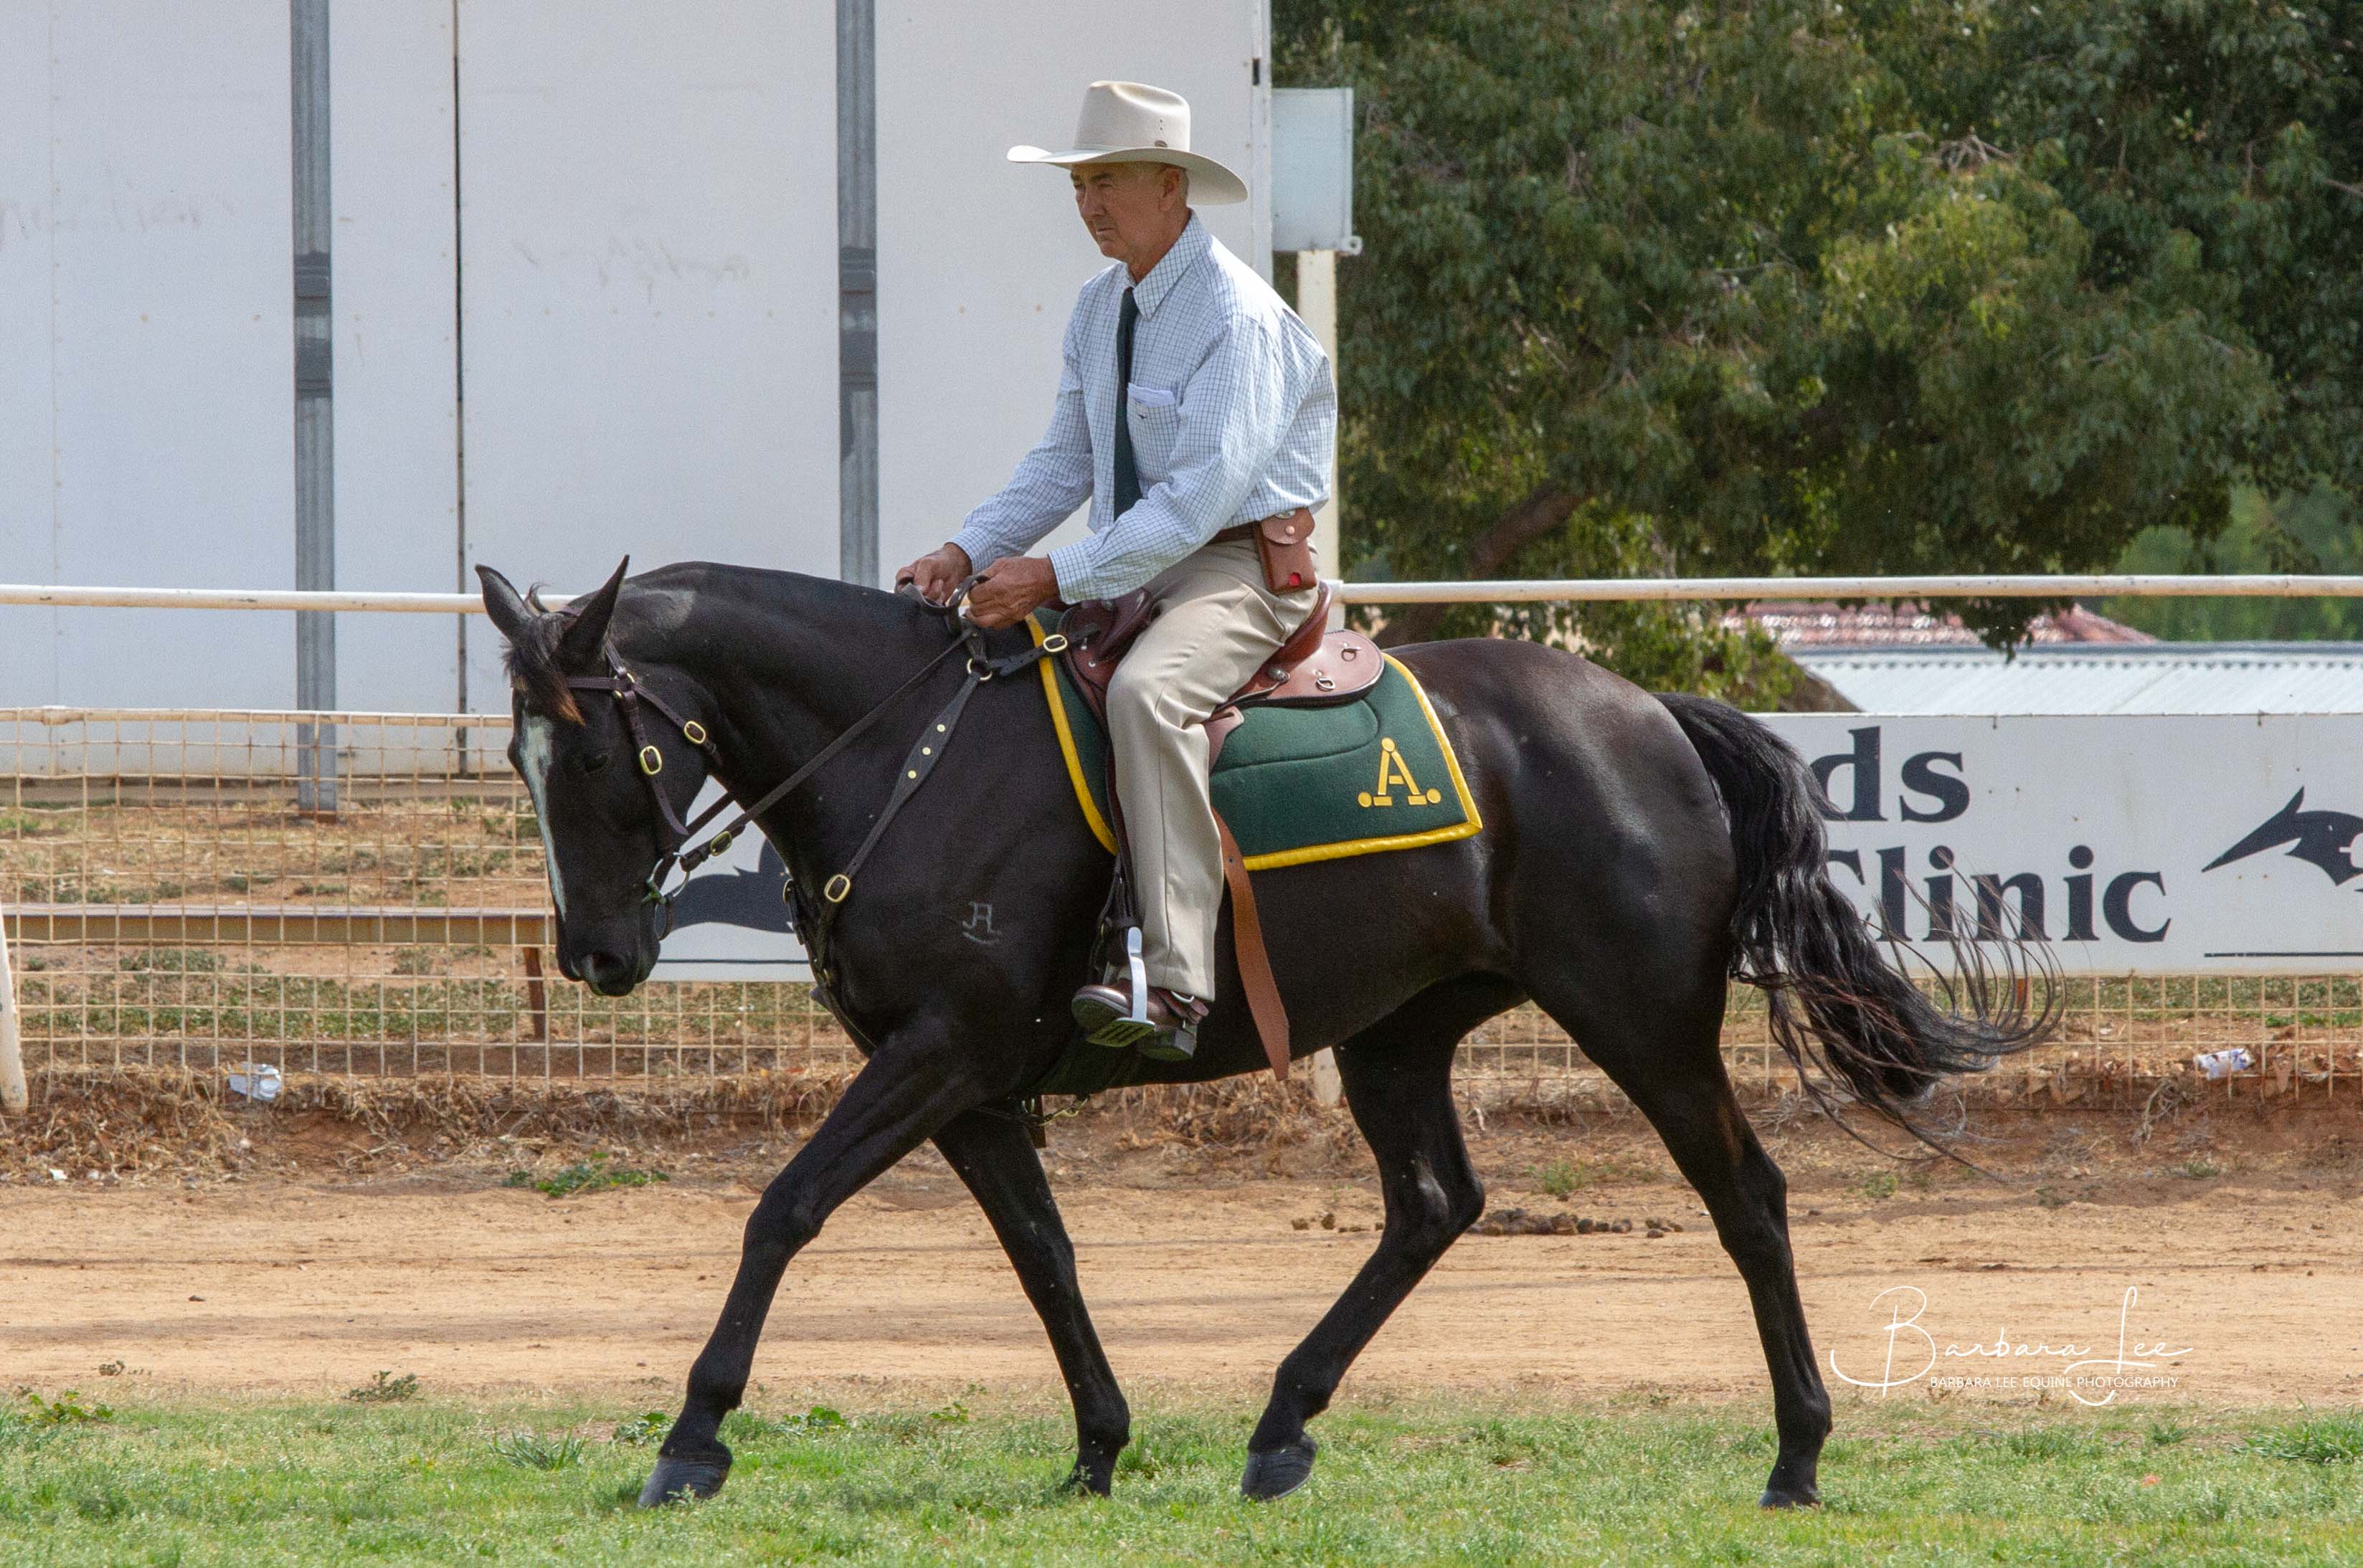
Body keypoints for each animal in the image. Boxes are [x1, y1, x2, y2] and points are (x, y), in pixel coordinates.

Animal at [477, 556, 2040, 1510]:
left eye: (600, 751)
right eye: (517, 756)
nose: (598, 955)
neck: (907, 757)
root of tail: (1645, 710)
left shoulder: (942, 1054)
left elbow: (784, 1207)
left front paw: (693, 1434)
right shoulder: (965, 1081)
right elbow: (1043, 1255)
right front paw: (1099, 1444)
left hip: (1641, 1019)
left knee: (1747, 1198)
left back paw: (1797, 1453)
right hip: (1398, 1034)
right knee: (1433, 1203)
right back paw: (1284, 1419)